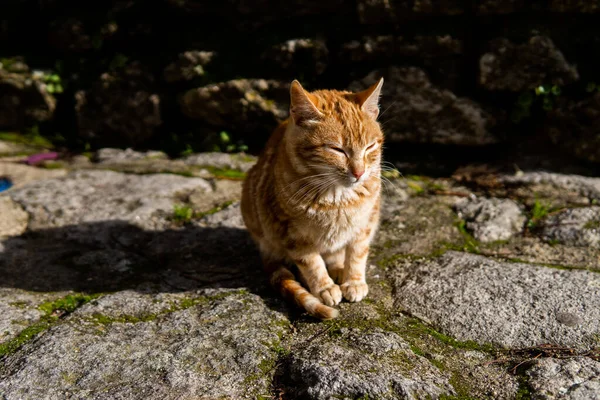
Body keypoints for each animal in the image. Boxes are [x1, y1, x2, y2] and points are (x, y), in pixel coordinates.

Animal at [240, 78, 384, 318]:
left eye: (370, 147)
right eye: (337, 149)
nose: (359, 172)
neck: (337, 196)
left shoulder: (366, 222)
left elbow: (357, 253)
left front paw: (354, 281)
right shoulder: (290, 232)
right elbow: (311, 263)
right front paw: (324, 287)